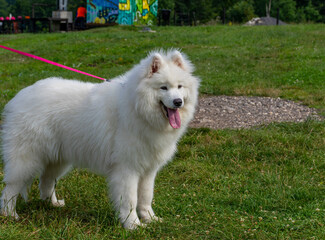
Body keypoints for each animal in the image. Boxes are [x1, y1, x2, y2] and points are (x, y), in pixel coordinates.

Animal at [0, 49, 199, 230]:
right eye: (163, 87)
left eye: (180, 87)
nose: (178, 102)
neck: (137, 108)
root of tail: (20, 96)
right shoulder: (127, 169)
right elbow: (130, 200)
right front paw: (133, 225)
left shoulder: (148, 169)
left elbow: (145, 197)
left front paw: (150, 219)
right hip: (26, 159)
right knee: (11, 188)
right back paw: (10, 214)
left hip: (58, 159)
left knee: (46, 181)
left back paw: (53, 204)